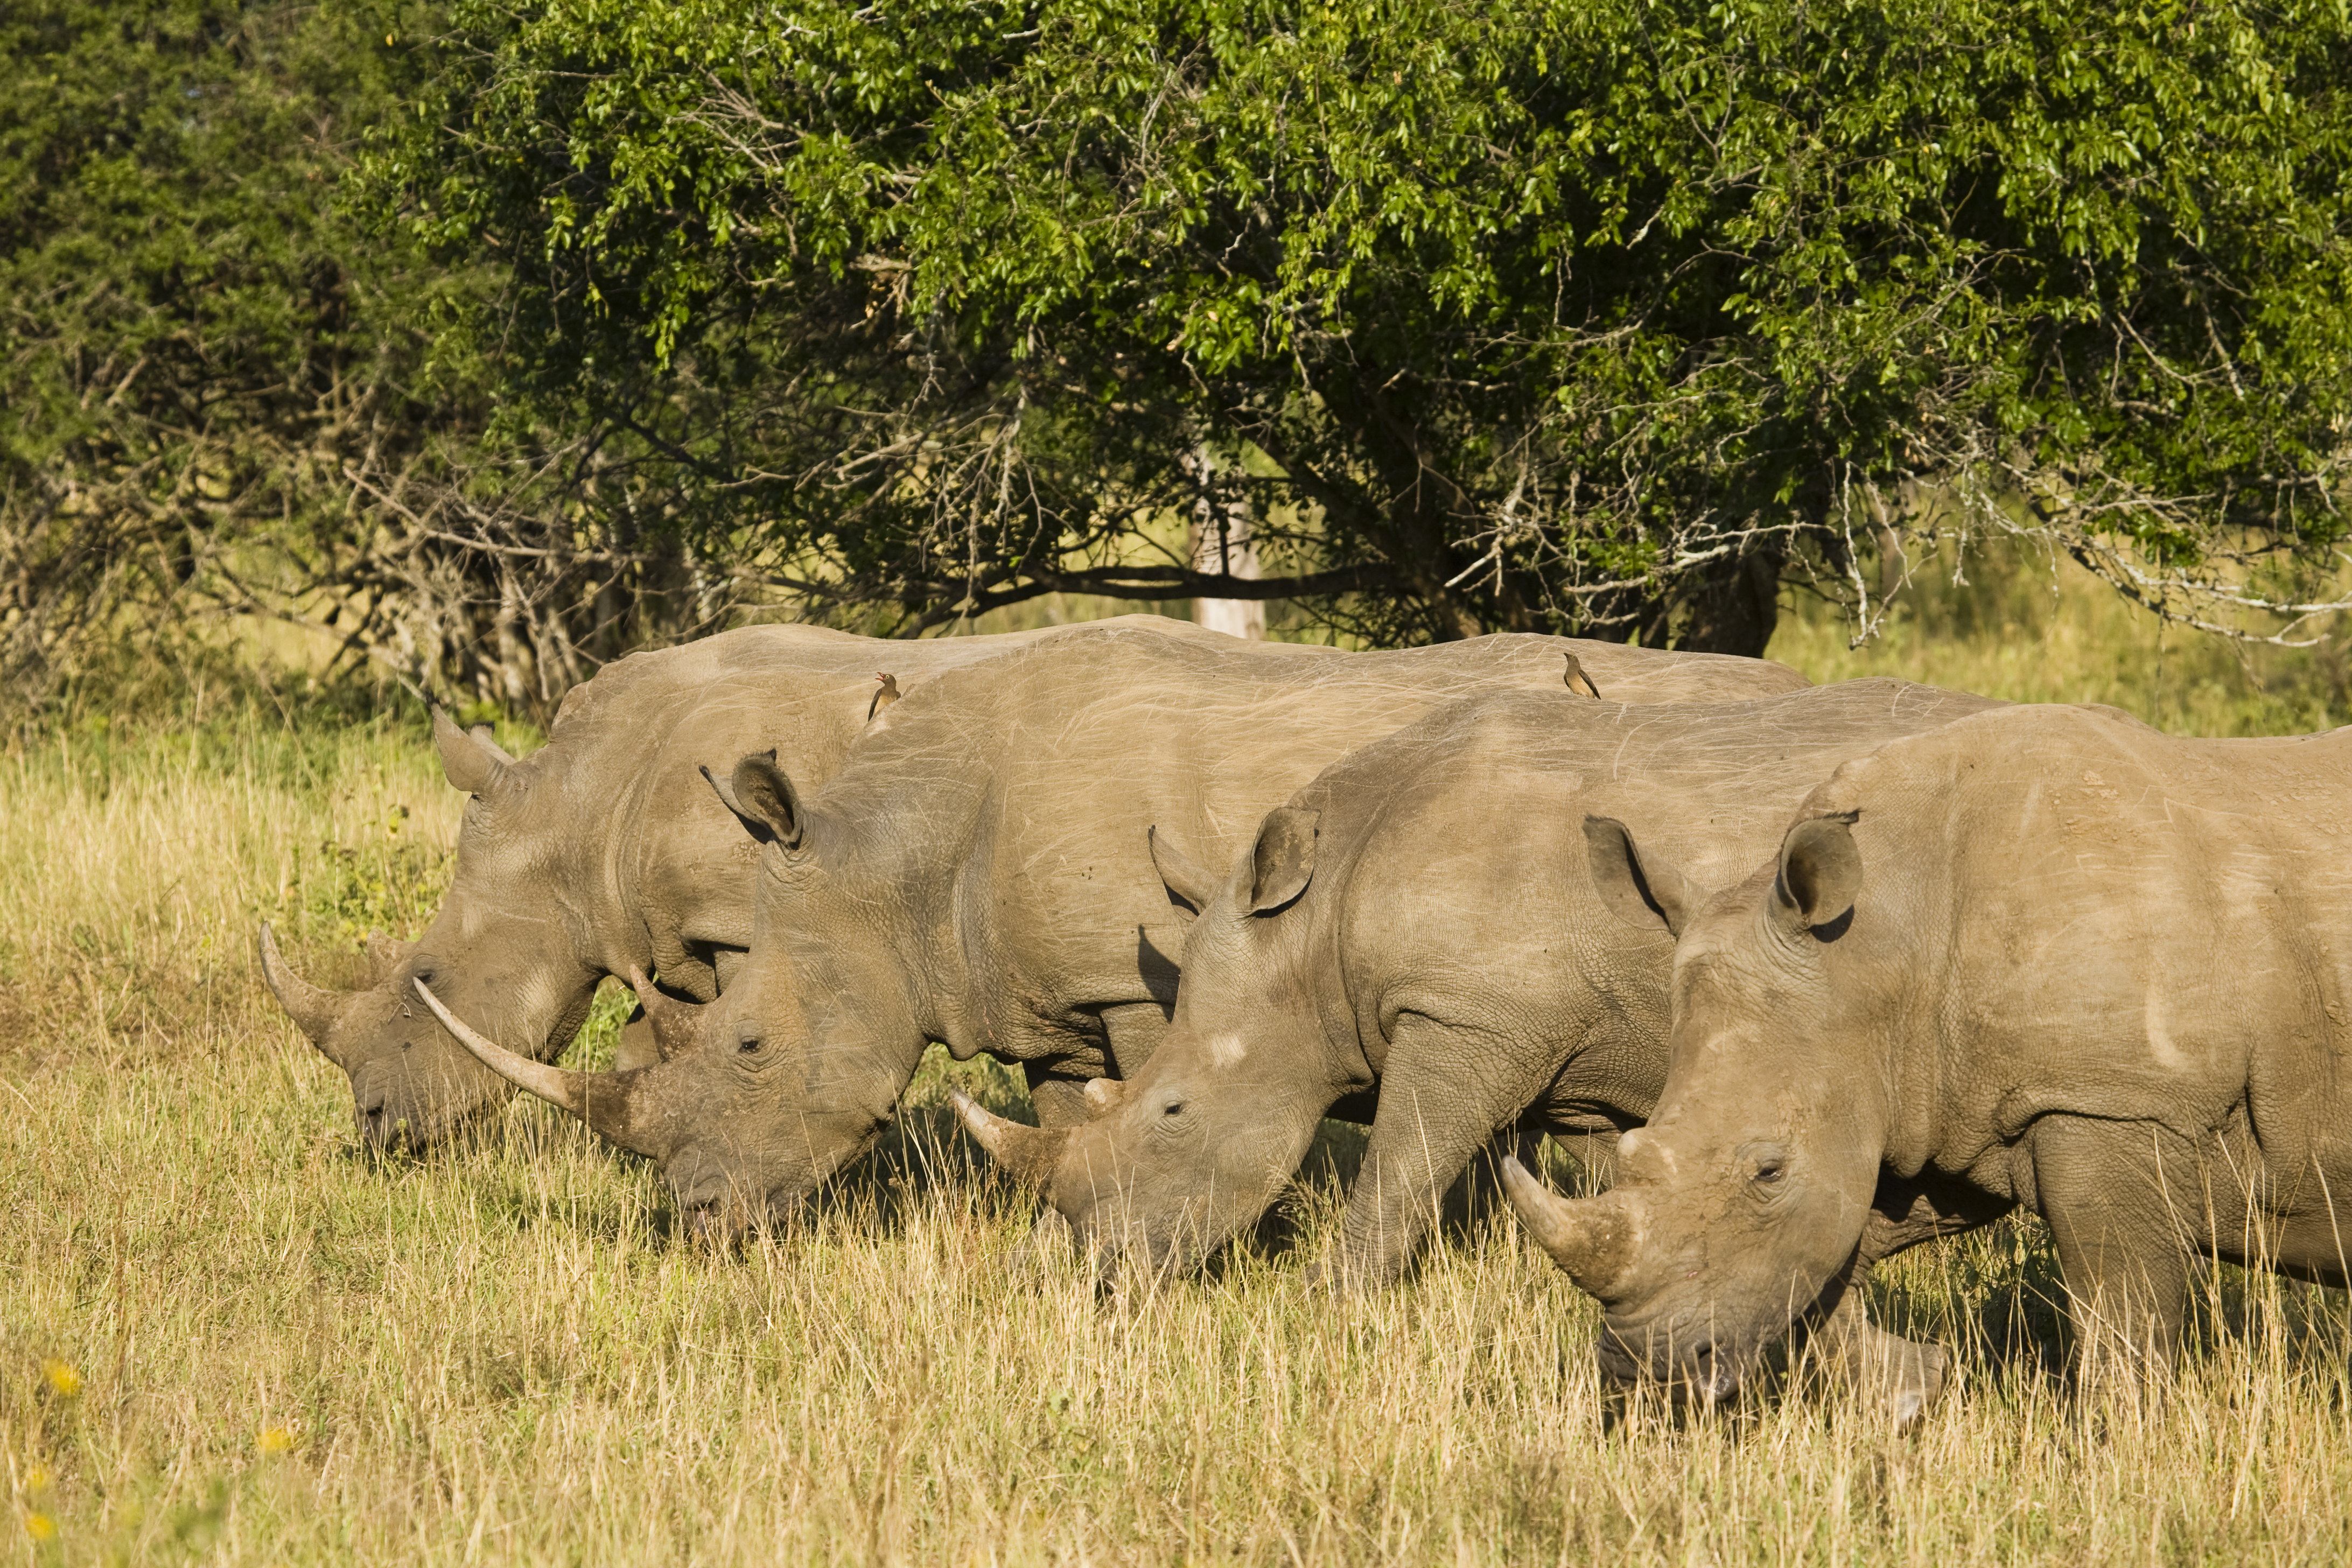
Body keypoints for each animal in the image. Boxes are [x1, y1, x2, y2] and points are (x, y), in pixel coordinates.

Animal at [259, 615, 1267, 1151]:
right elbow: (648, 1051)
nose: (375, 1128)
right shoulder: (666, 940)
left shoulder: (738, 920)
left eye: (424, 982)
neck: (578, 817)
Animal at [422, 623, 1808, 1234]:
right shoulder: (1047, 993)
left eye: (751, 1048)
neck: (899, 857)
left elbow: (1157, 1101)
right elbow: (1061, 1118)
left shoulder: (1140, 980)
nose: (700, 1221)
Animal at [1502, 702, 2352, 1409]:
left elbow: (2122, 1307)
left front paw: (2125, 1445)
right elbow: (1828, 1266)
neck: (1887, 941)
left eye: (1768, 1171)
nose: (1641, 1369)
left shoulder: (2113, 1099)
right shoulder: (1929, 1097)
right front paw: (1915, 1387)